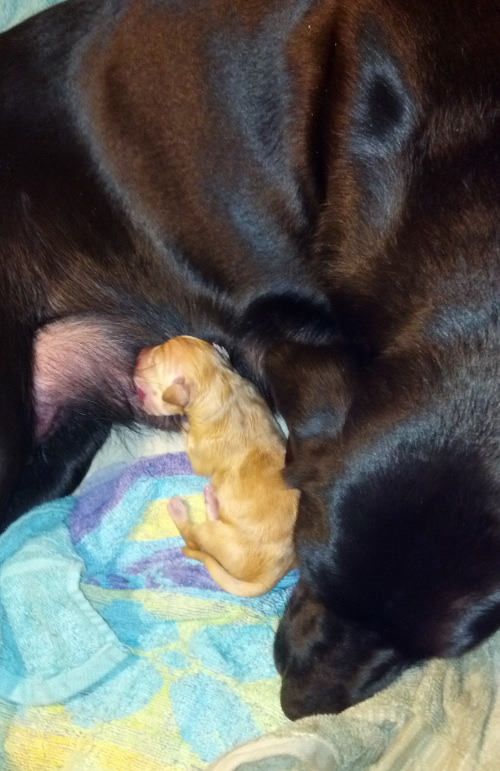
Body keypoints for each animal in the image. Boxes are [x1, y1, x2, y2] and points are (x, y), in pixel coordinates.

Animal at [133, 336, 298, 596]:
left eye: (155, 360)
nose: (139, 352)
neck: (222, 386)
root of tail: (270, 577)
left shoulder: (199, 454)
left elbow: (192, 447)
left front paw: (185, 426)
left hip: (213, 535)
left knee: (191, 537)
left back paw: (179, 510)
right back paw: (212, 500)